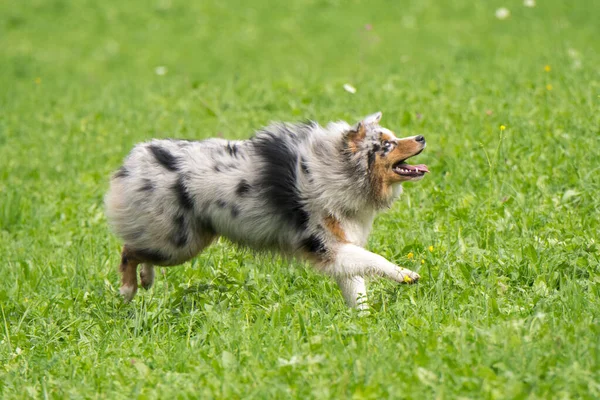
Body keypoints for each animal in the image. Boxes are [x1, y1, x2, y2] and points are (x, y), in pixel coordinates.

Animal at [105, 112, 428, 310]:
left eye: (394, 136)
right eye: (387, 144)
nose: (422, 137)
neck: (339, 170)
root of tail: (137, 157)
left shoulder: (340, 245)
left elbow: (357, 286)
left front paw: (363, 321)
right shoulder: (326, 245)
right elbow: (375, 259)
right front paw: (406, 274)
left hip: (187, 240)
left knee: (137, 247)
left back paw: (146, 279)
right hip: (178, 243)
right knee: (129, 250)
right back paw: (127, 290)